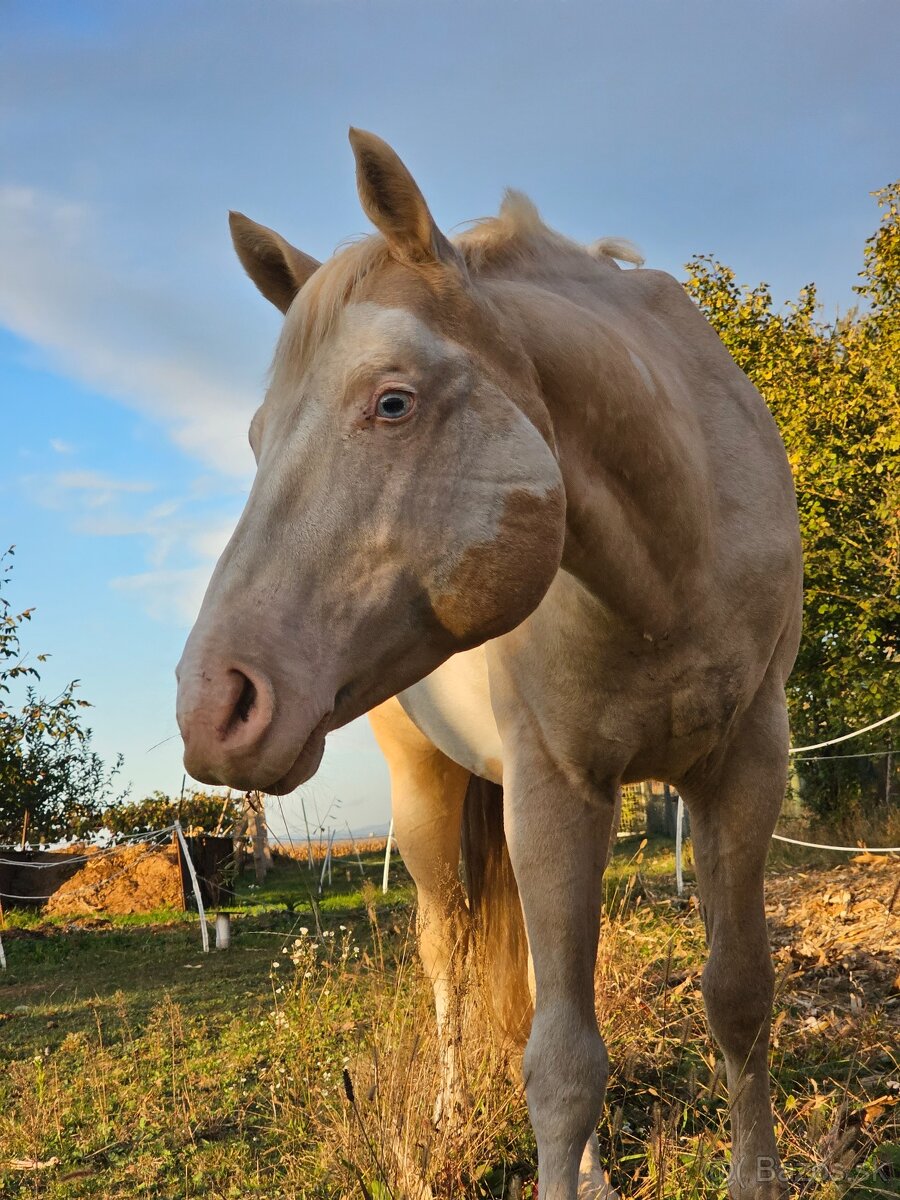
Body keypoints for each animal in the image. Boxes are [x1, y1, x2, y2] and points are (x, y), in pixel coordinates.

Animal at [176, 129, 802, 1200]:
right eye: (256, 437)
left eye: (392, 402)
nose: (212, 703)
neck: (673, 561)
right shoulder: (556, 789)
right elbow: (559, 1065)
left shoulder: (745, 767)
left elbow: (738, 996)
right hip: (433, 800)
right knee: (452, 965)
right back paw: (449, 1114)